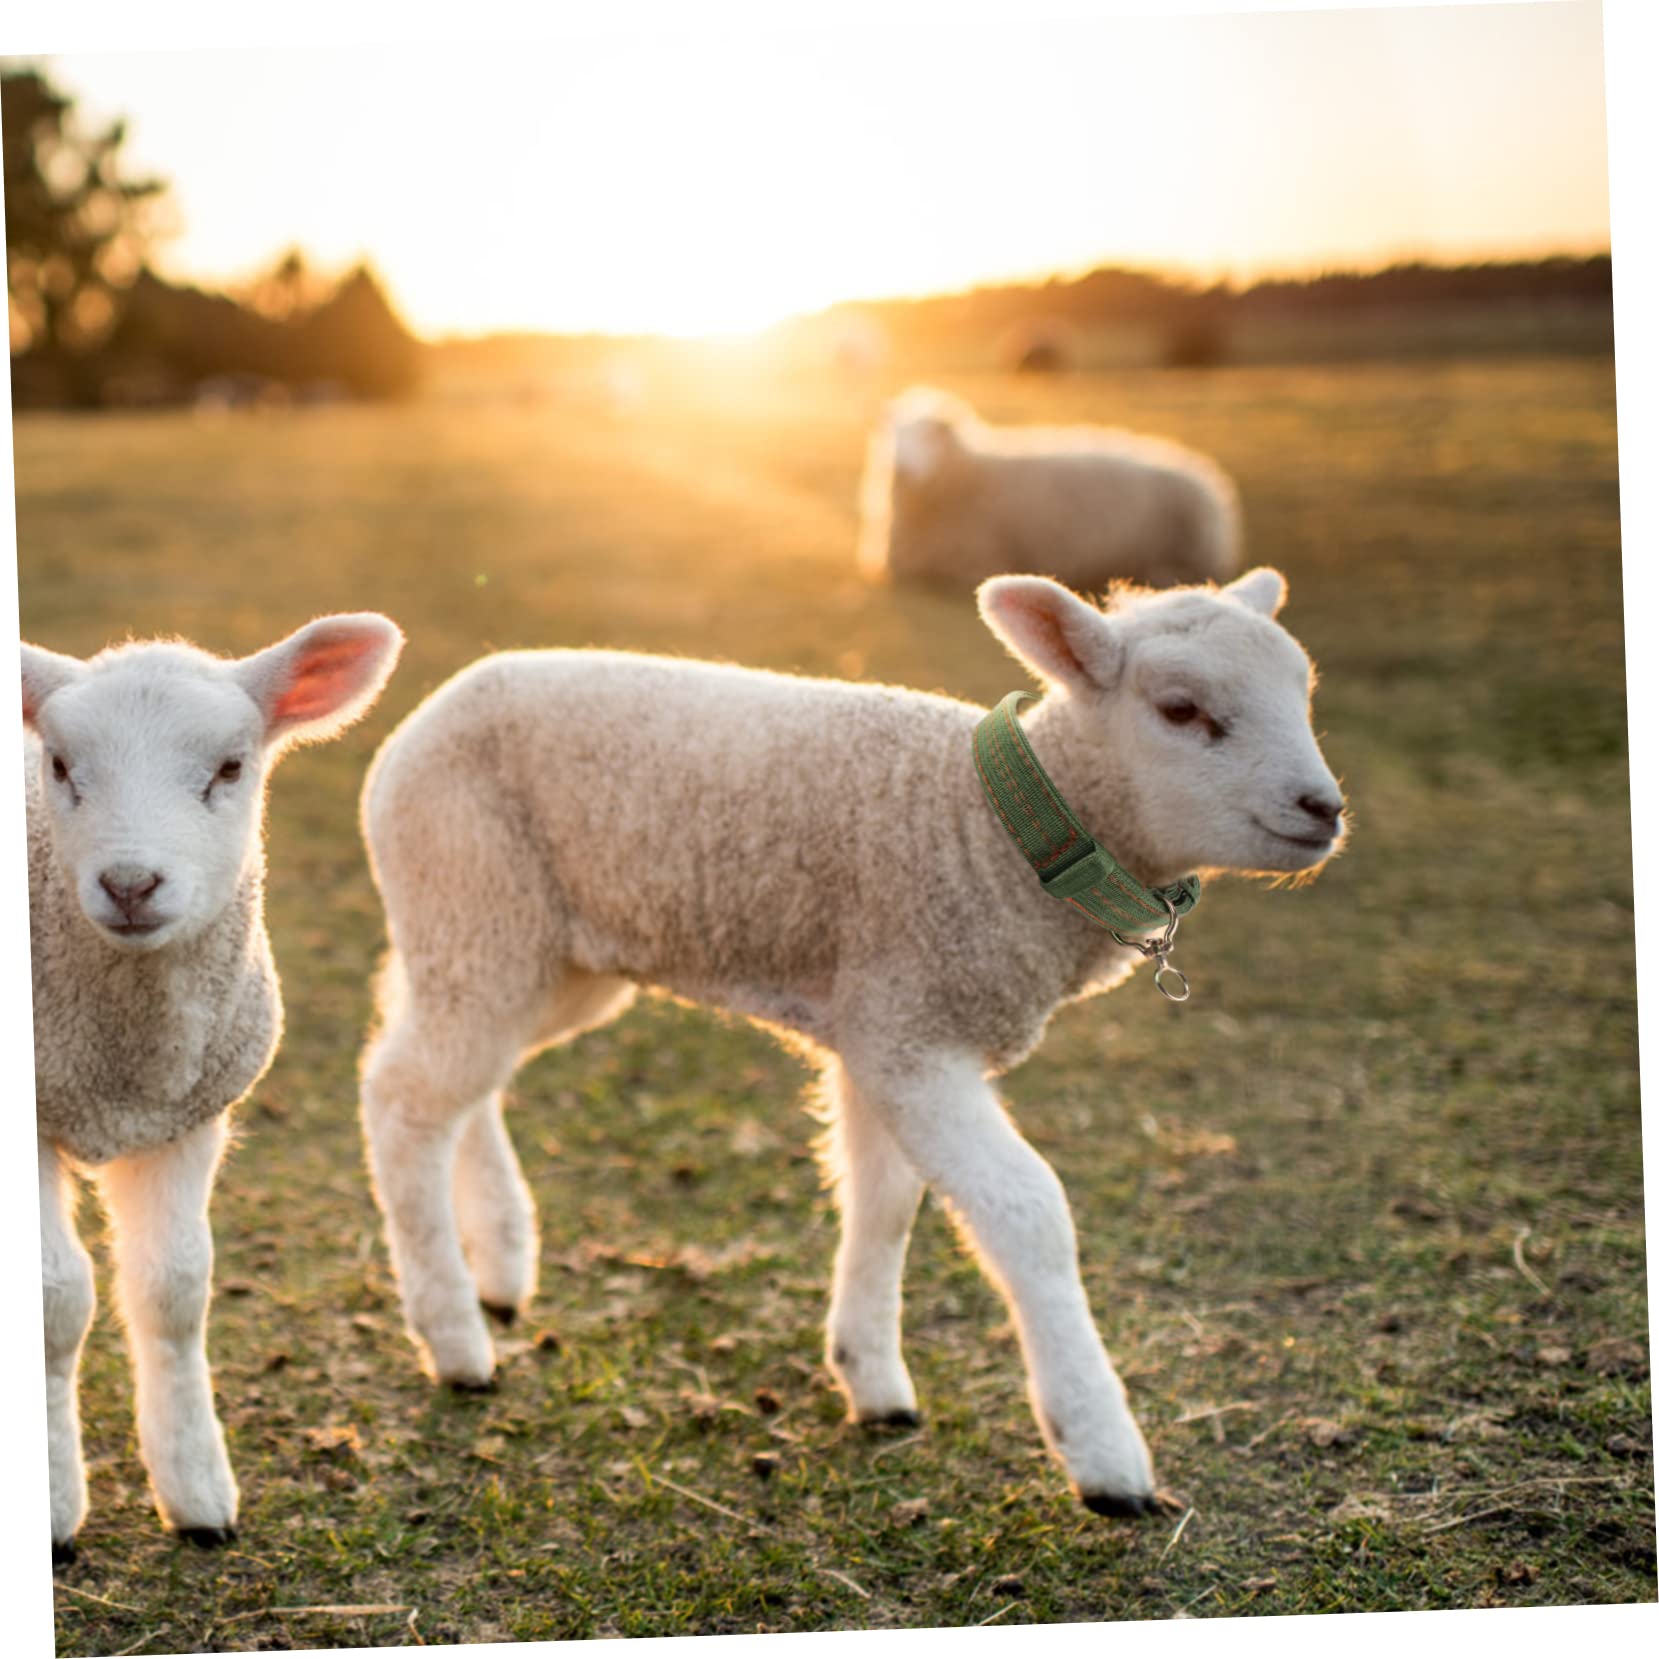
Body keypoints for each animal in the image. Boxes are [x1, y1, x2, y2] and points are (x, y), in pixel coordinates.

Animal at [24, 614, 404, 1562]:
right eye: (60, 765)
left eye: (230, 767)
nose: (130, 884)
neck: (125, 1060)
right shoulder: (32, 1110)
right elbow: (53, 1299)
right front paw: (50, 1508)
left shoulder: (187, 1113)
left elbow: (174, 1289)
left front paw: (198, 1494)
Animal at [356, 567, 1344, 1515]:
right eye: (1180, 709)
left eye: (1301, 691)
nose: (1323, 807)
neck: (993, 834)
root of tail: (429, 712)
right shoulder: (910, 1031)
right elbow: (1027, 1213)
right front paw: (1102, 1452)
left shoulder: (881, 1025)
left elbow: (884, 1201)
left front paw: (872, 1379)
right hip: (475, 899)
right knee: (404, 1095)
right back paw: (453, 1337)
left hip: (541, 953)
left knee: (461, 1080)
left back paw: (499, 1263)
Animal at [858, 386, 1243, 593]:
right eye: (893, 434)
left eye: (928, 437)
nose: (900, 468)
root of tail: (1209, 479)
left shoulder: (978, 557)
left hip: (1186, 549)